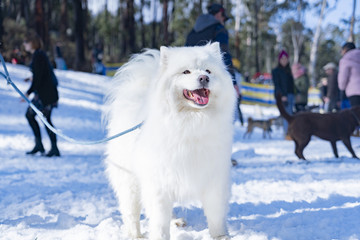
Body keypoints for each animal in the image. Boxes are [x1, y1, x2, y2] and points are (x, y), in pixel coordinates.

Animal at [102, 42, 235, 239]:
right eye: (186, 72)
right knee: (131, 212)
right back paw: (136, 235)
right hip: (130, 182)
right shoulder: (158, 183)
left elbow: (216, 214)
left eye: (208, 71)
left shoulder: (214, 178)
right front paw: (160, 236)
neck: (191, 123)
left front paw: (221, 236)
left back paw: (176, 222)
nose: (204, 78)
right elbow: (159, 221)